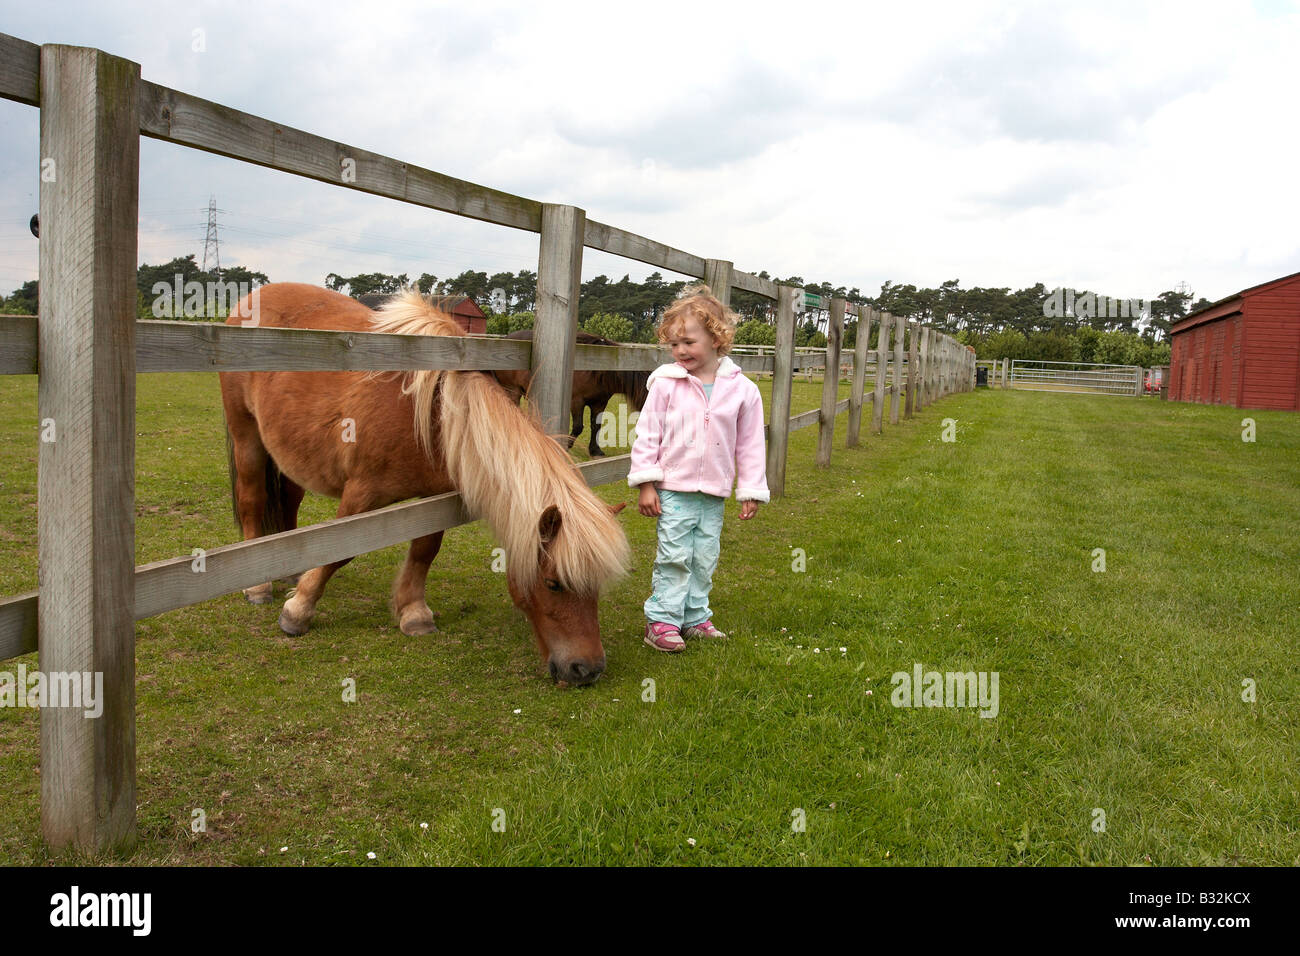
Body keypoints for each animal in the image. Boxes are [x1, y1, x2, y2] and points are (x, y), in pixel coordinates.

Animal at [217, 283, 629, 686]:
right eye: (553, 583)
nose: (588, 669)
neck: (436, 413)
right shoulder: (360, 493)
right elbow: (338, 551)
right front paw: (299, 609)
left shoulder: (433, 498)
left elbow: (425, 550)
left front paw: (413, 612)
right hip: (247, 437)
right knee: (252, 499)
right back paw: (258, 588)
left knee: (289, 500)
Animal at [491, 330, 650, 457]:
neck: (598, 371)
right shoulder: (576, 401)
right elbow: (578, 427)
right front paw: (567, 446)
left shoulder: (599, 403)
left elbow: (596, 425)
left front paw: (595, 450)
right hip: (512, 390)